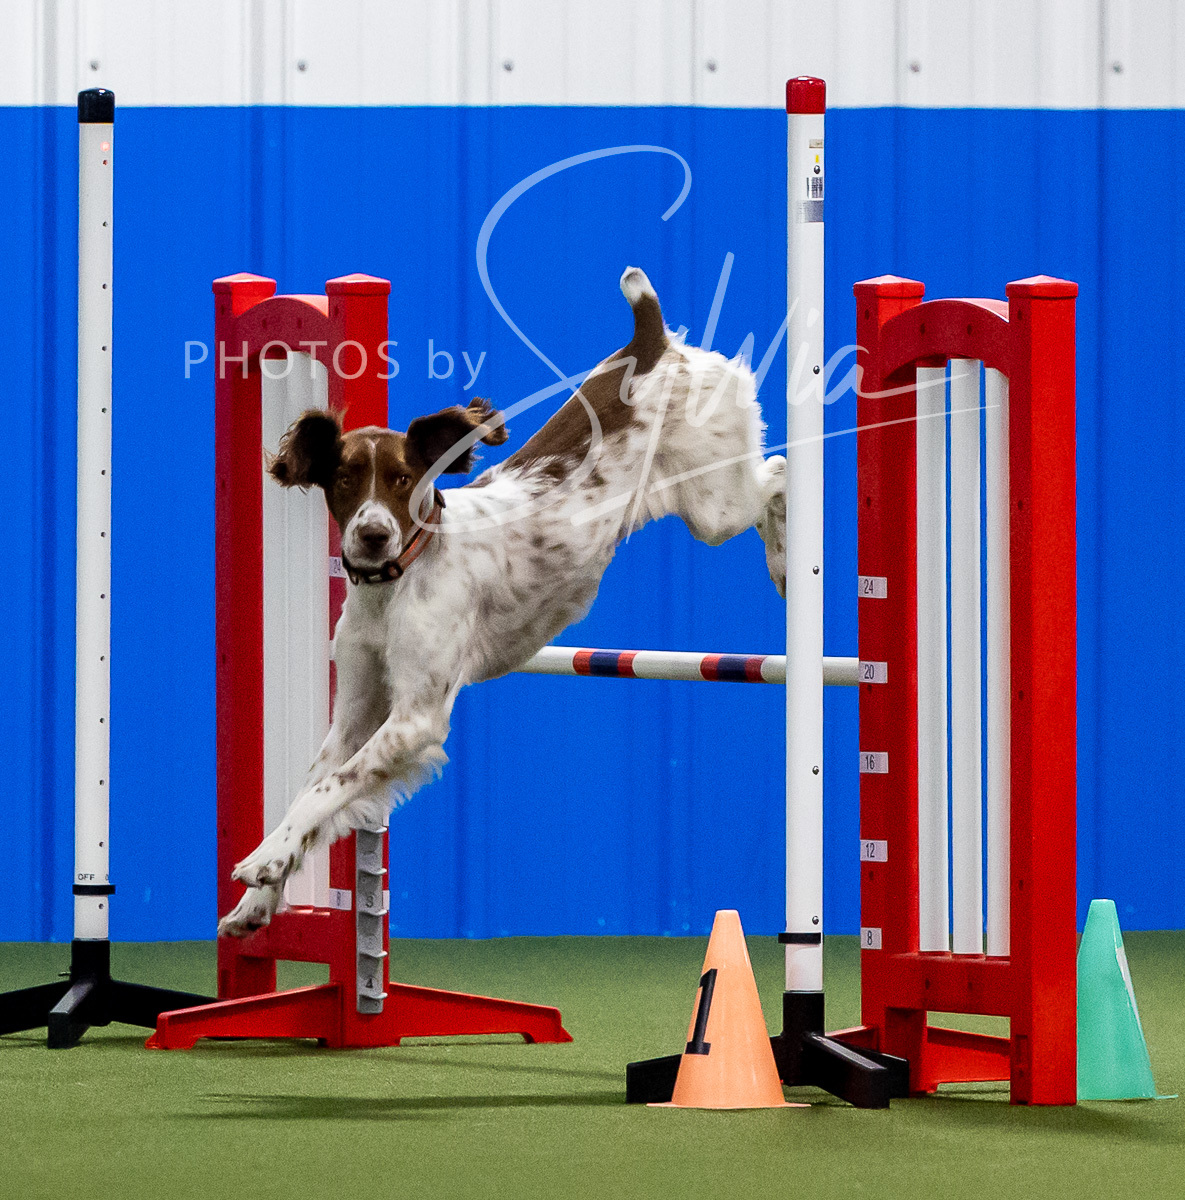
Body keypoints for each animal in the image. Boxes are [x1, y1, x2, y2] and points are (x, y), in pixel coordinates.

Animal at [219, 267, 786, 937]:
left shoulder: (415, 717)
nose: (373, 534)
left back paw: (787, 567)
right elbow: (312, 787)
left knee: (778, 477)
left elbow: (328, 788)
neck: (396, 583)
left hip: (715, 506)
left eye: (404, 479)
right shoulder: (356, 711)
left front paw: (265, 860)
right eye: (344, 479)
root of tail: (652, 342)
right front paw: (257, 901)